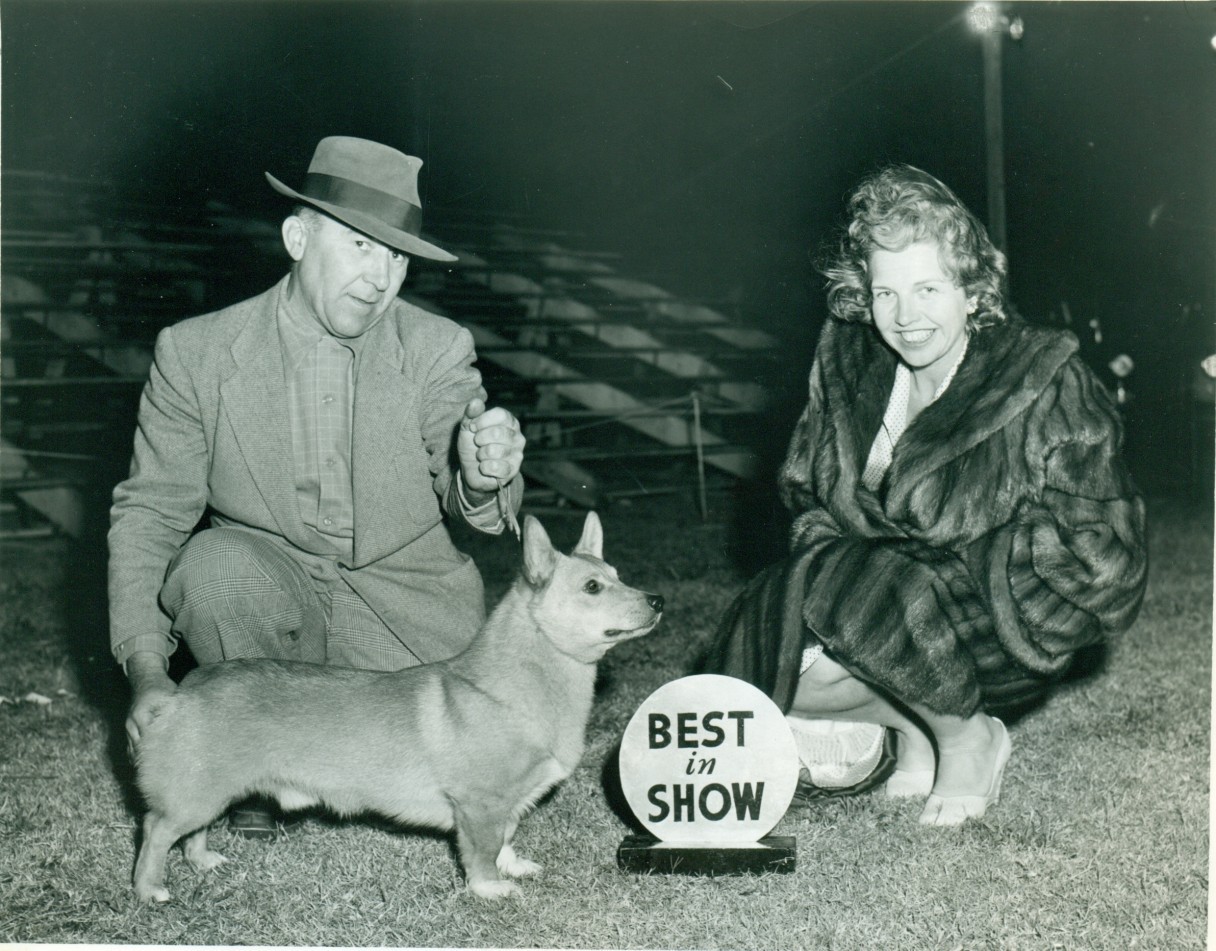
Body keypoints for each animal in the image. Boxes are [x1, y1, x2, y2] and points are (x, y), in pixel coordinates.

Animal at [133, 518, 666, 904]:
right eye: (593, 587)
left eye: (618, 577)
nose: (658, 599)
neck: (523, 681)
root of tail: (181, 692)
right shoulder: (479, 804)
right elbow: (482, 851)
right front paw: (490, 888)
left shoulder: (506, 805)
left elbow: (507, 838)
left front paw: (514, 866)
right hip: (197, 793)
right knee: (156, 831)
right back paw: (149, 889)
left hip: (210, 791)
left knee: (193, 832)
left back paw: (204, 862)